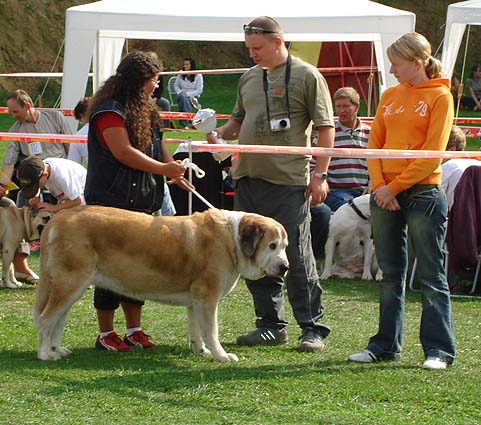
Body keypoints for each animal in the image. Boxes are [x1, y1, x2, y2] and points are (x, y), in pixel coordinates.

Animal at [35, 205, 288, 362]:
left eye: (285, 246)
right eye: (272, 245)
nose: (285, 267)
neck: (231, 239)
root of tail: (59, 217)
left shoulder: (196, 301)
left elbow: (196, 330)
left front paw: (201, 351)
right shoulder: (208, 298)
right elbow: (211, 331)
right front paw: (221, 356)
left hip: (72, 288)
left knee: (58, 321)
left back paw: (57, 349)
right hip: (69, 284)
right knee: (46, 319)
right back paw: (45, 354)